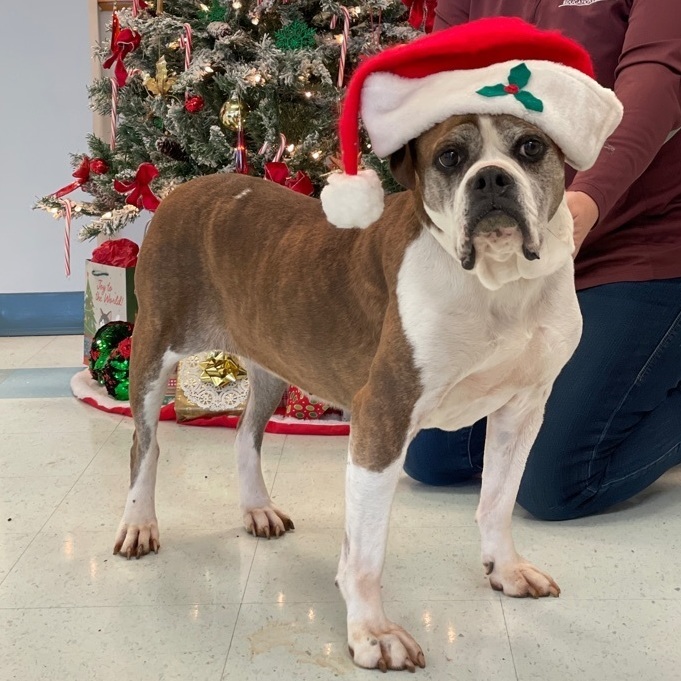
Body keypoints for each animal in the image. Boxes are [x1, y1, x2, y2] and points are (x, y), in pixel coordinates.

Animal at [113, 111, 580, 668]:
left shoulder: (521, 411)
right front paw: (372, 632)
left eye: (531, 147)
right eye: (450, 156)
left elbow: (498, 500)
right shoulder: (383, 415)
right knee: (144, 443)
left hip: (273, 356)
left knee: (246, 434)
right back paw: (139, 522)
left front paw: (505, 569)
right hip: (154, 344)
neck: (499, 281)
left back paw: (256, 507)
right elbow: (365, 552)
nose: (491, 179)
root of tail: (184, 187)